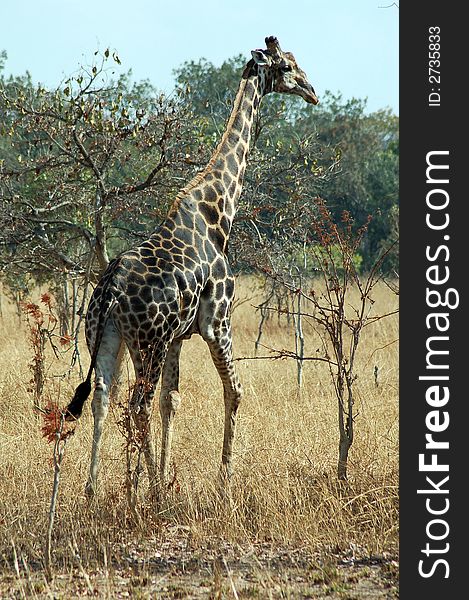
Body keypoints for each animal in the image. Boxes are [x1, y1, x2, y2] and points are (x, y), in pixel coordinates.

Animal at [66, 36, 318, 496]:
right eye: (289, 66)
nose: (313, 92)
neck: (217, 212)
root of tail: (110, 291)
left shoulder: (179, 338)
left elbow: (173, 401)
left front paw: (167, 477)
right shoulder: (218, 322)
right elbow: (235, 391)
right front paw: (223, 481)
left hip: (106, 338)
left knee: (103, 399)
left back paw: (94, 492)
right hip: (147, 342)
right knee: (137, 405)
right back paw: (141, 492)